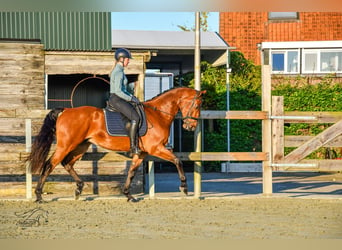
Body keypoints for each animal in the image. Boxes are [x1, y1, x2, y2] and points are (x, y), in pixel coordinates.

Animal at [27, 87, 206, 202]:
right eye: (197, 105)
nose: (190, 126)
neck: (158, 115)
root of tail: (66, 111)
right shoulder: (156, 148)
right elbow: (178, 160)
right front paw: (184, 187)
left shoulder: (141, 153)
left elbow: (132, 172)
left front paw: (128, 195)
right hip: (66, 145)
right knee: (49, 165)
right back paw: (39, 195)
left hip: (80, 146)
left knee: (67, 163)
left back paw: (78, 188)